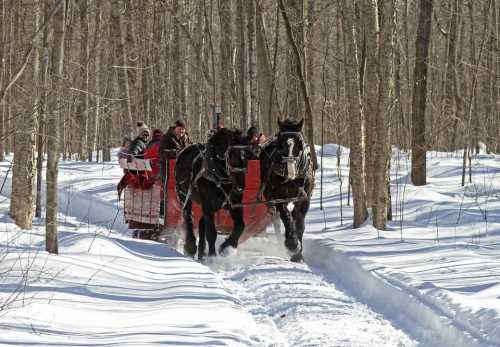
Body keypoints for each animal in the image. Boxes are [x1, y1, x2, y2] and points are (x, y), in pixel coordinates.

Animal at [175, 129, 250, 260]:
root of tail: (183, 151)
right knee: (188, 217)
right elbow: (211, 232)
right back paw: (191, 247)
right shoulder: (208, 206)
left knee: (201, 223)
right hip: (183, 195)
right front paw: (212, 256)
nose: (240, 188)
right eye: (233, 158)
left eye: (247, 158)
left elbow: (240, 226)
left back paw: (201, 253)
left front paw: (227, 247)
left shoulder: (235, 204)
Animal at [260, 118, 314, 262]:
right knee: (276, 220)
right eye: (281, 143)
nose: (291, 171)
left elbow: (299, 223)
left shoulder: (304, 198)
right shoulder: (279, 198)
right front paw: (293, 245)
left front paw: (298, 254)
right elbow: (286, 218)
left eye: (299, 142)